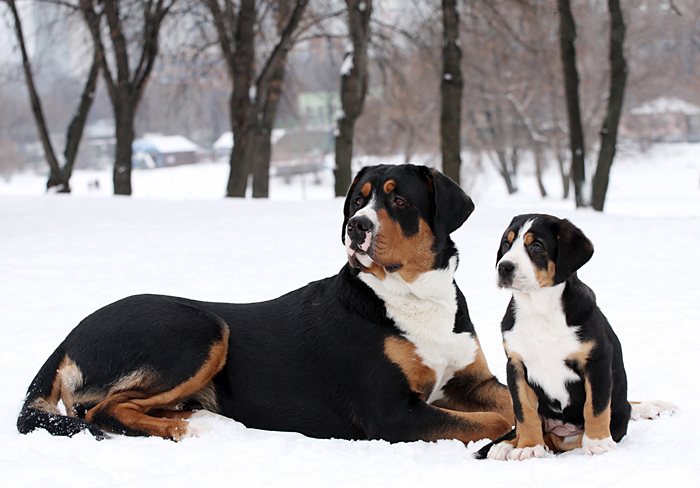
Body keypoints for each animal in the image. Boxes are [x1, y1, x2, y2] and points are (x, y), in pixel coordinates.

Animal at [19, 164, 512, 442]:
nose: (356, 226)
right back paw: (178, 427)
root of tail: (70, 335)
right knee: (104, 410)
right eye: (358, 199)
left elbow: (508, 399)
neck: (413, 296)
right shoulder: (392, 414)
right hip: (200, 330)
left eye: (400, 199)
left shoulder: (470, 379)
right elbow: (493, 421)